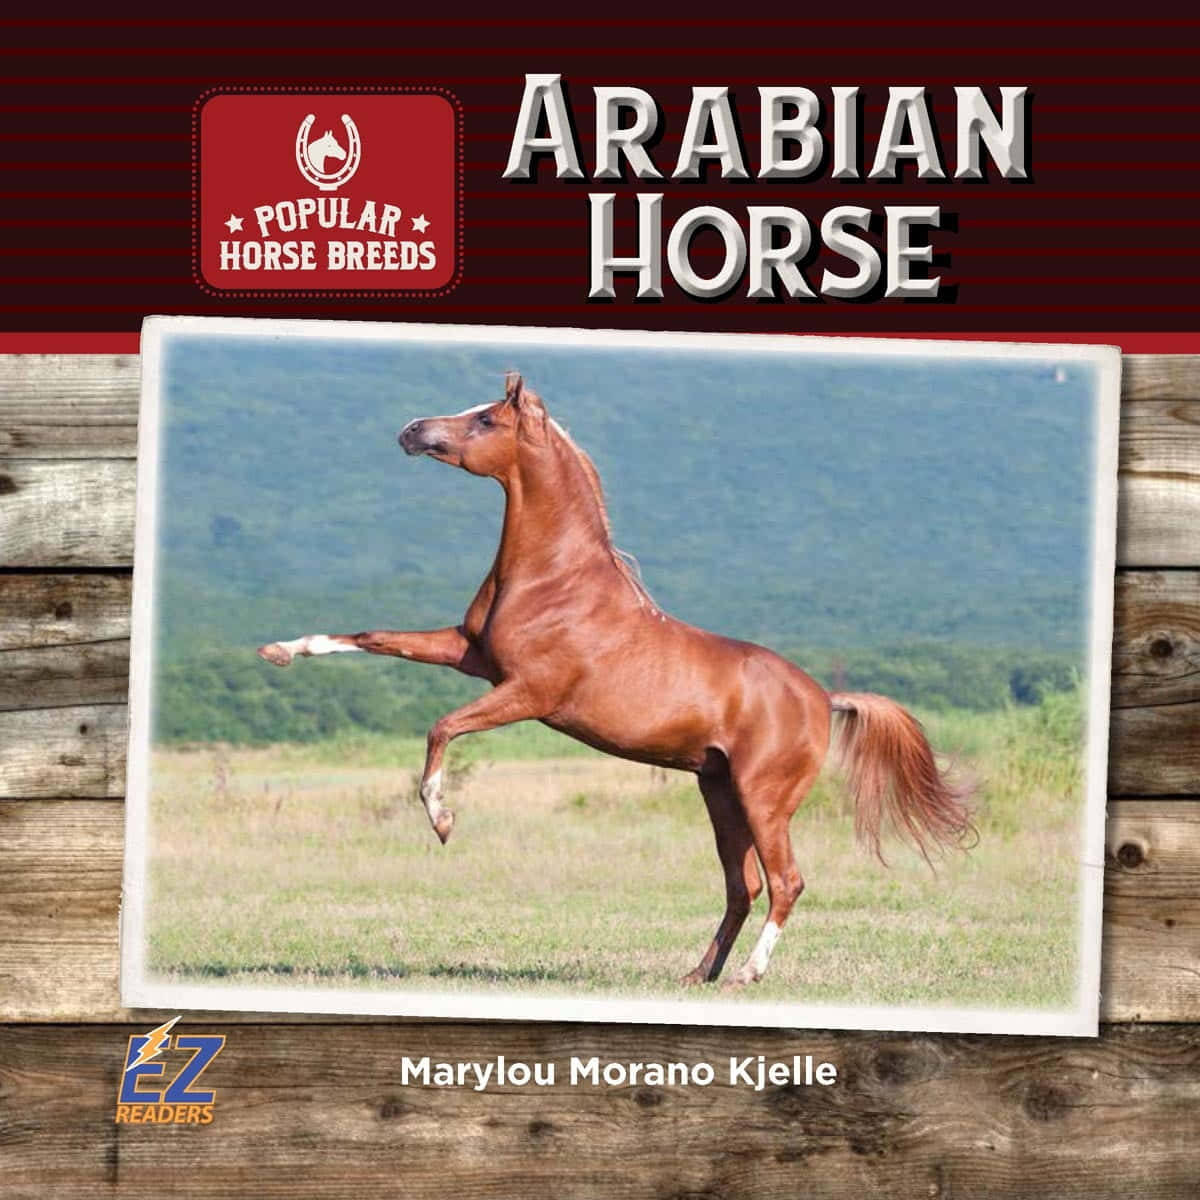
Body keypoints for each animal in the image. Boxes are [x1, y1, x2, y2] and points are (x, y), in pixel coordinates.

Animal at [257, 372, 974, 987]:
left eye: (486, 418)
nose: (410, 430)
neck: (555, 580)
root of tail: (825, 698)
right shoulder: (469, 654)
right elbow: (372, 637)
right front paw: (281, 650)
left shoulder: (527, 692)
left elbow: (441, 729)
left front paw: (442, 821)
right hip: (719, 793)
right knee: (741, 886)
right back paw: (696, 975)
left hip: (763, 798)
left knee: (786, 882)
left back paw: (745, 974)